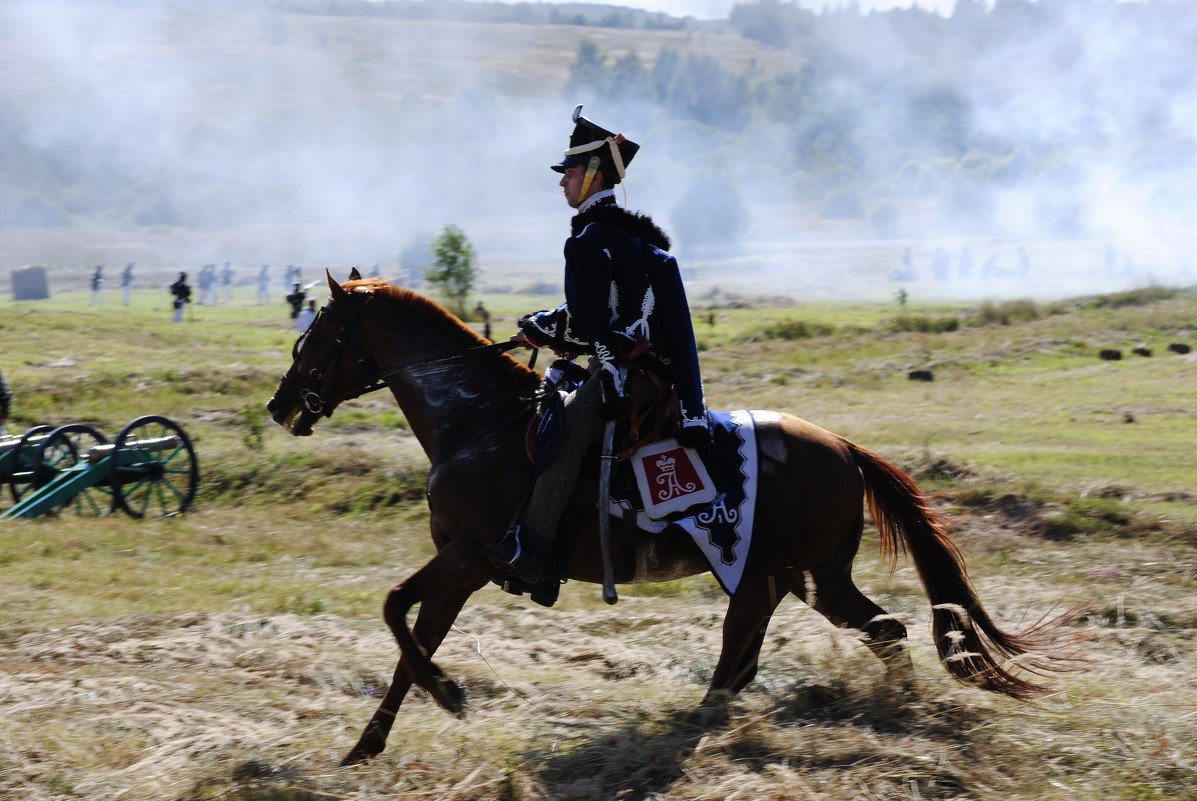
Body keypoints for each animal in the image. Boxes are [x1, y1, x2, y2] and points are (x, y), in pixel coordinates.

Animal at [271, 271, 1077, 766]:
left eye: (316, 336)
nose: (281, 406)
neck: (479, 422)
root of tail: (843, 448)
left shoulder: (472, 555)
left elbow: (392, 610)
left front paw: (448, 693)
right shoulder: (462, 569)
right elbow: (409, 644)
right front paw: (367, 746)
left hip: (762, 579)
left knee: (736, 669)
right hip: (813, 578)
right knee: (879, 631)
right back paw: (895, 711)